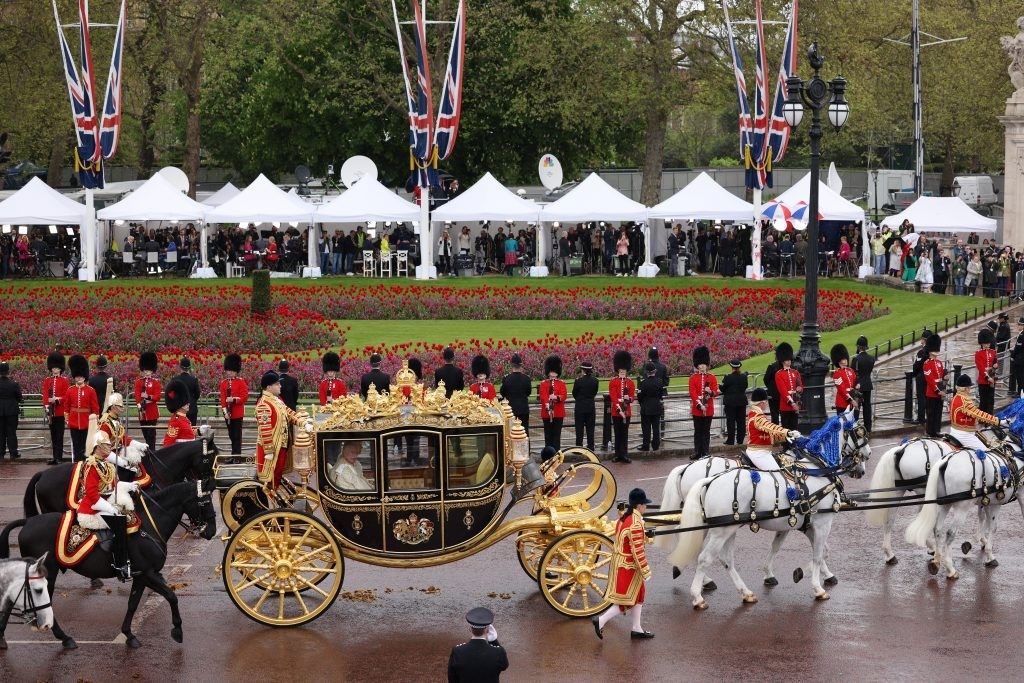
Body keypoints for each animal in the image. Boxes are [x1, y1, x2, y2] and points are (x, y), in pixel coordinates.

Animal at [0, 479, 216, 651]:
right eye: (204, 502)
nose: (211, 531)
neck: (148, 526)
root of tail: (28, 522)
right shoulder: (148, 573)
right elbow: (171, 596)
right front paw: (177, 630)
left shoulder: (141, 575)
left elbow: (133, 604)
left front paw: (129, 634)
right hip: (46, 575)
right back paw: (65, 638)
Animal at [667, 421, 868, 610]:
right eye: (860, 433)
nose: (863, 466)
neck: (816, 469)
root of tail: (708, 480)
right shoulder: (822, 523)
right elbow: (818, 555)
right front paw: (816, 586)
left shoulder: (801, 524)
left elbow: (803, 549)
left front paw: (794, 574)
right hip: (720, 530)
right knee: (704, 557)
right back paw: (698, 596)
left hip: (726, 528)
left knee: (724, 559)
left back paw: (744, 593)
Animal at [905, 446, 1024, 581]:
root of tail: (945, 461)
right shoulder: (1001, 501)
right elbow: (993, 527)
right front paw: (989, 556)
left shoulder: (988, 501)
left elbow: (984, 519)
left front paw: (980, 541)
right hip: (962, 508)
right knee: (950, 532)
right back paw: (950, 568)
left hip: (945, 504)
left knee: (938, 529)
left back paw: (936, 561)